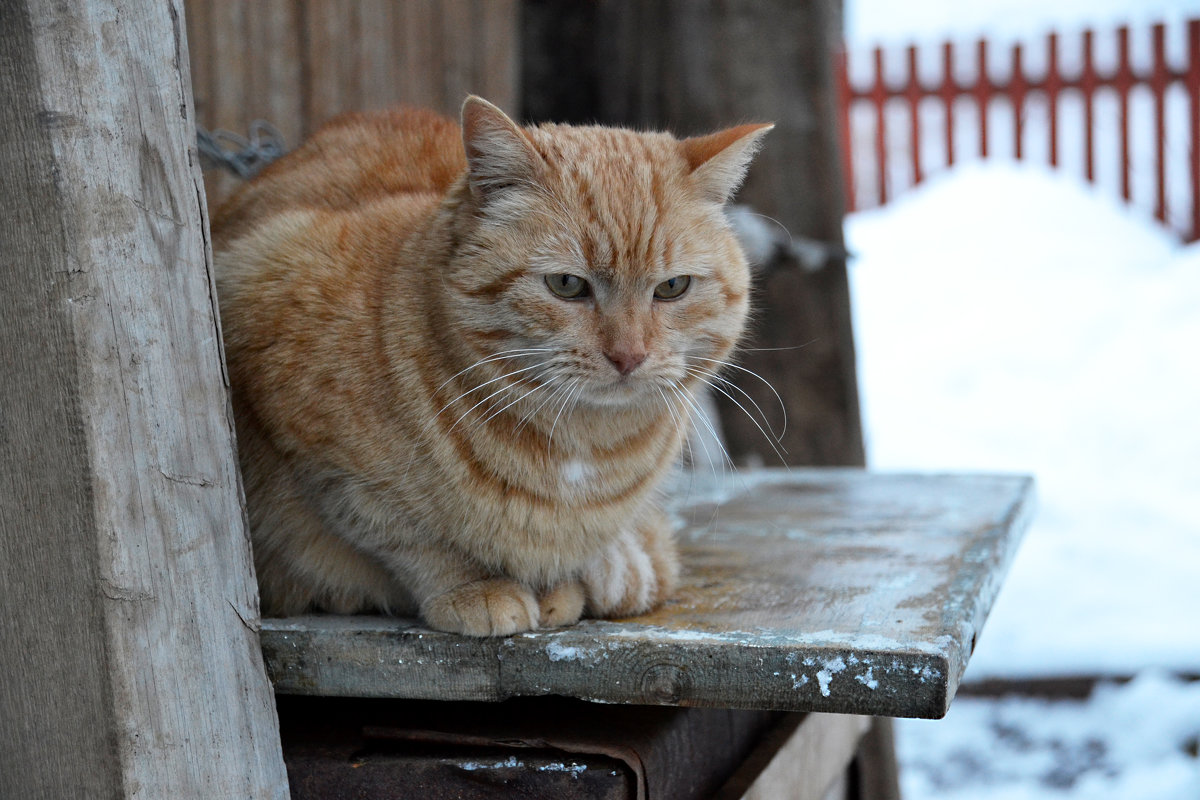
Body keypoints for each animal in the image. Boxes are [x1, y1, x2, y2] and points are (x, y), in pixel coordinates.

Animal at [212, 97, 772, 633]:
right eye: (567, 285)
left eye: (672, 287)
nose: (628, 355)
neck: (582, 449)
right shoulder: (308, 432)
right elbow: (404, 535)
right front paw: (476, 587)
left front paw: (570, 580)